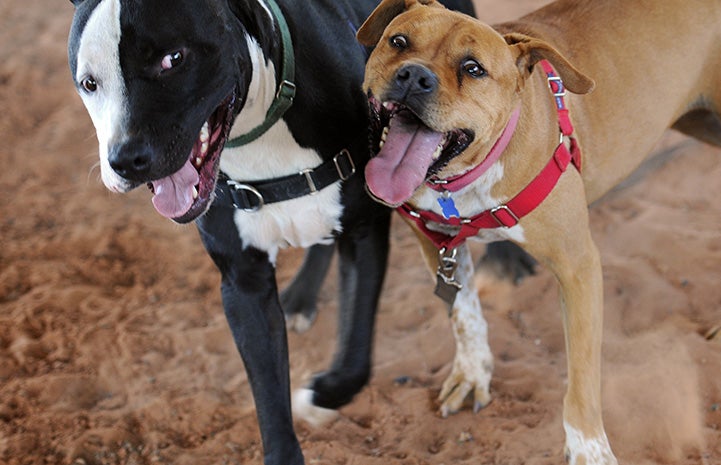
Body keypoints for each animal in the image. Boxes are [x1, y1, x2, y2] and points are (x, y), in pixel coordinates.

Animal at [66, 0, 472, 464]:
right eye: (89, 83)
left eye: (173, 59)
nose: (124, 160)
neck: (260, 129)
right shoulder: (244, 283)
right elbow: (268, 391)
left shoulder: (365, 234)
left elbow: (356, 352)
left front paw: (325, 393)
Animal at [356, 0, 720, 464]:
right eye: (399, 41)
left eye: (473, 68)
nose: (414, 76)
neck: (467, 179)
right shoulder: (435, 245)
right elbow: (465, 315)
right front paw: (474, 374)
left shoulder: (578, 267)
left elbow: (581, 378)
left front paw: (588, 448)